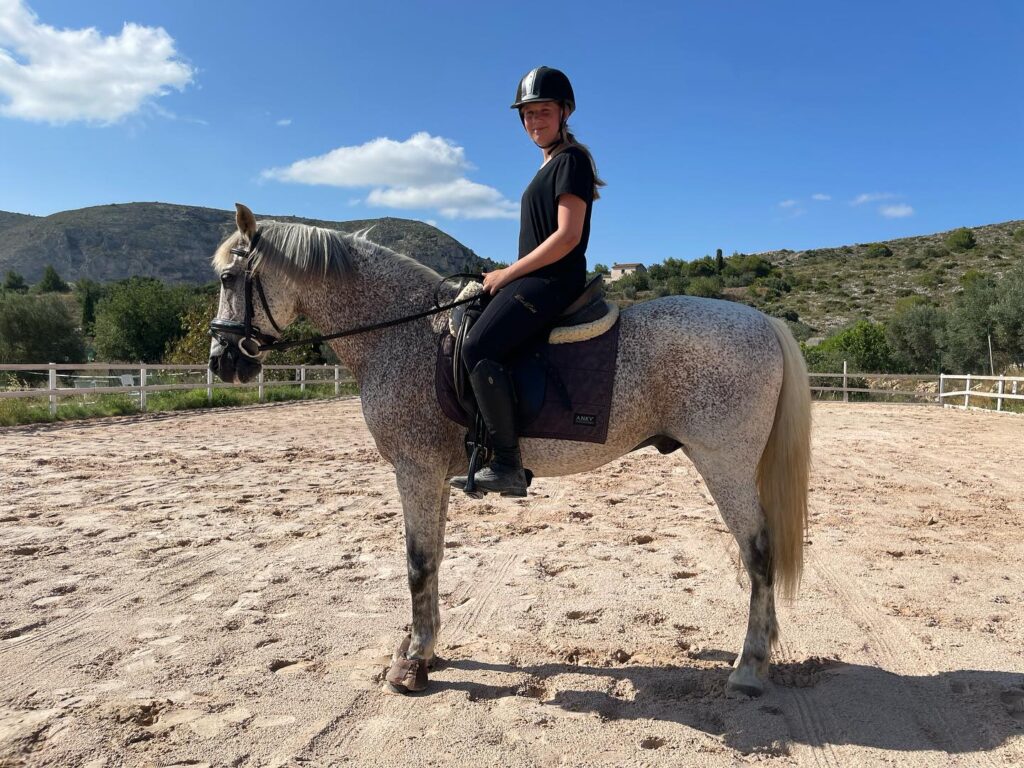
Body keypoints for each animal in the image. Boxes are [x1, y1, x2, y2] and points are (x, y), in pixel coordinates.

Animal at [207, 202, 811, 696]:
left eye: (230, 276)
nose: (223, 362)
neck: (402, 334)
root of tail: (764, 321)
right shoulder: (432, 474)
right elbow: (434, 559)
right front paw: (425, 650)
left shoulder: (414, 469)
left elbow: (417, 563)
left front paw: (413, 663)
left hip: (725, 464)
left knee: (759, 554)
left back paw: (748, 668)